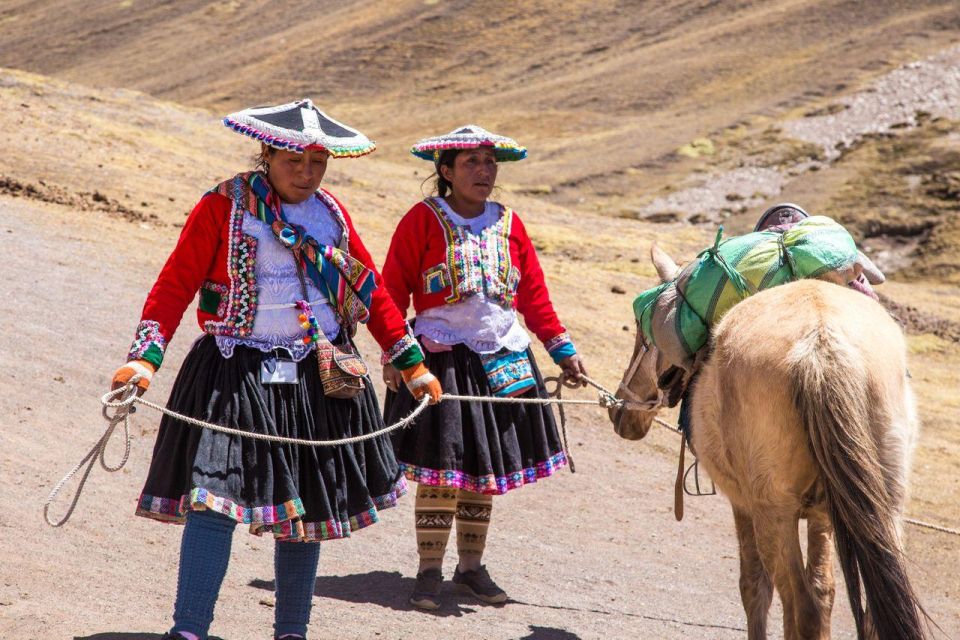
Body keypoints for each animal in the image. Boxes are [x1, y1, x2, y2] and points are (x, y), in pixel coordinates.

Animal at [612, 246, 928, 640]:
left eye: (643, 335)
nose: (619, 413)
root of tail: (821, 346)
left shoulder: (743, 504)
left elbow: (754, 587)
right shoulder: (824, 515)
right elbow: (824, 589)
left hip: (773, 512)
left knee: (799, 604)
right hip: (886, 507)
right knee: (864, 613)